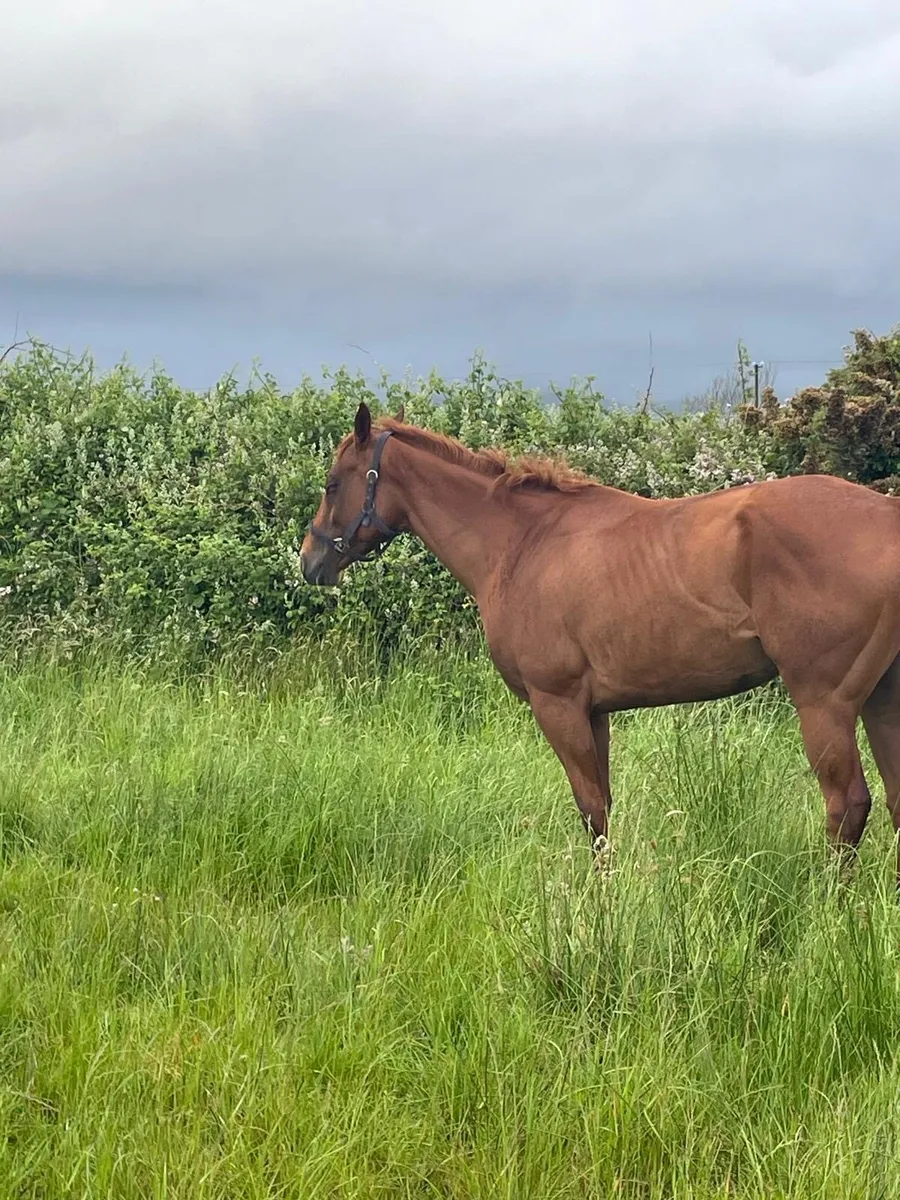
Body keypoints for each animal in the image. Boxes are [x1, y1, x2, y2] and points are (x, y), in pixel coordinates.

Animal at [300, 402, 900, 882]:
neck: (522, 542)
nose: (310, 561)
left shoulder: (558, 704)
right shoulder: (595, 711)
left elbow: (591, 808)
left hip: (824, 702)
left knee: (847, 805)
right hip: (881, 700)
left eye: (332, 483)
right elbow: (603, 806)